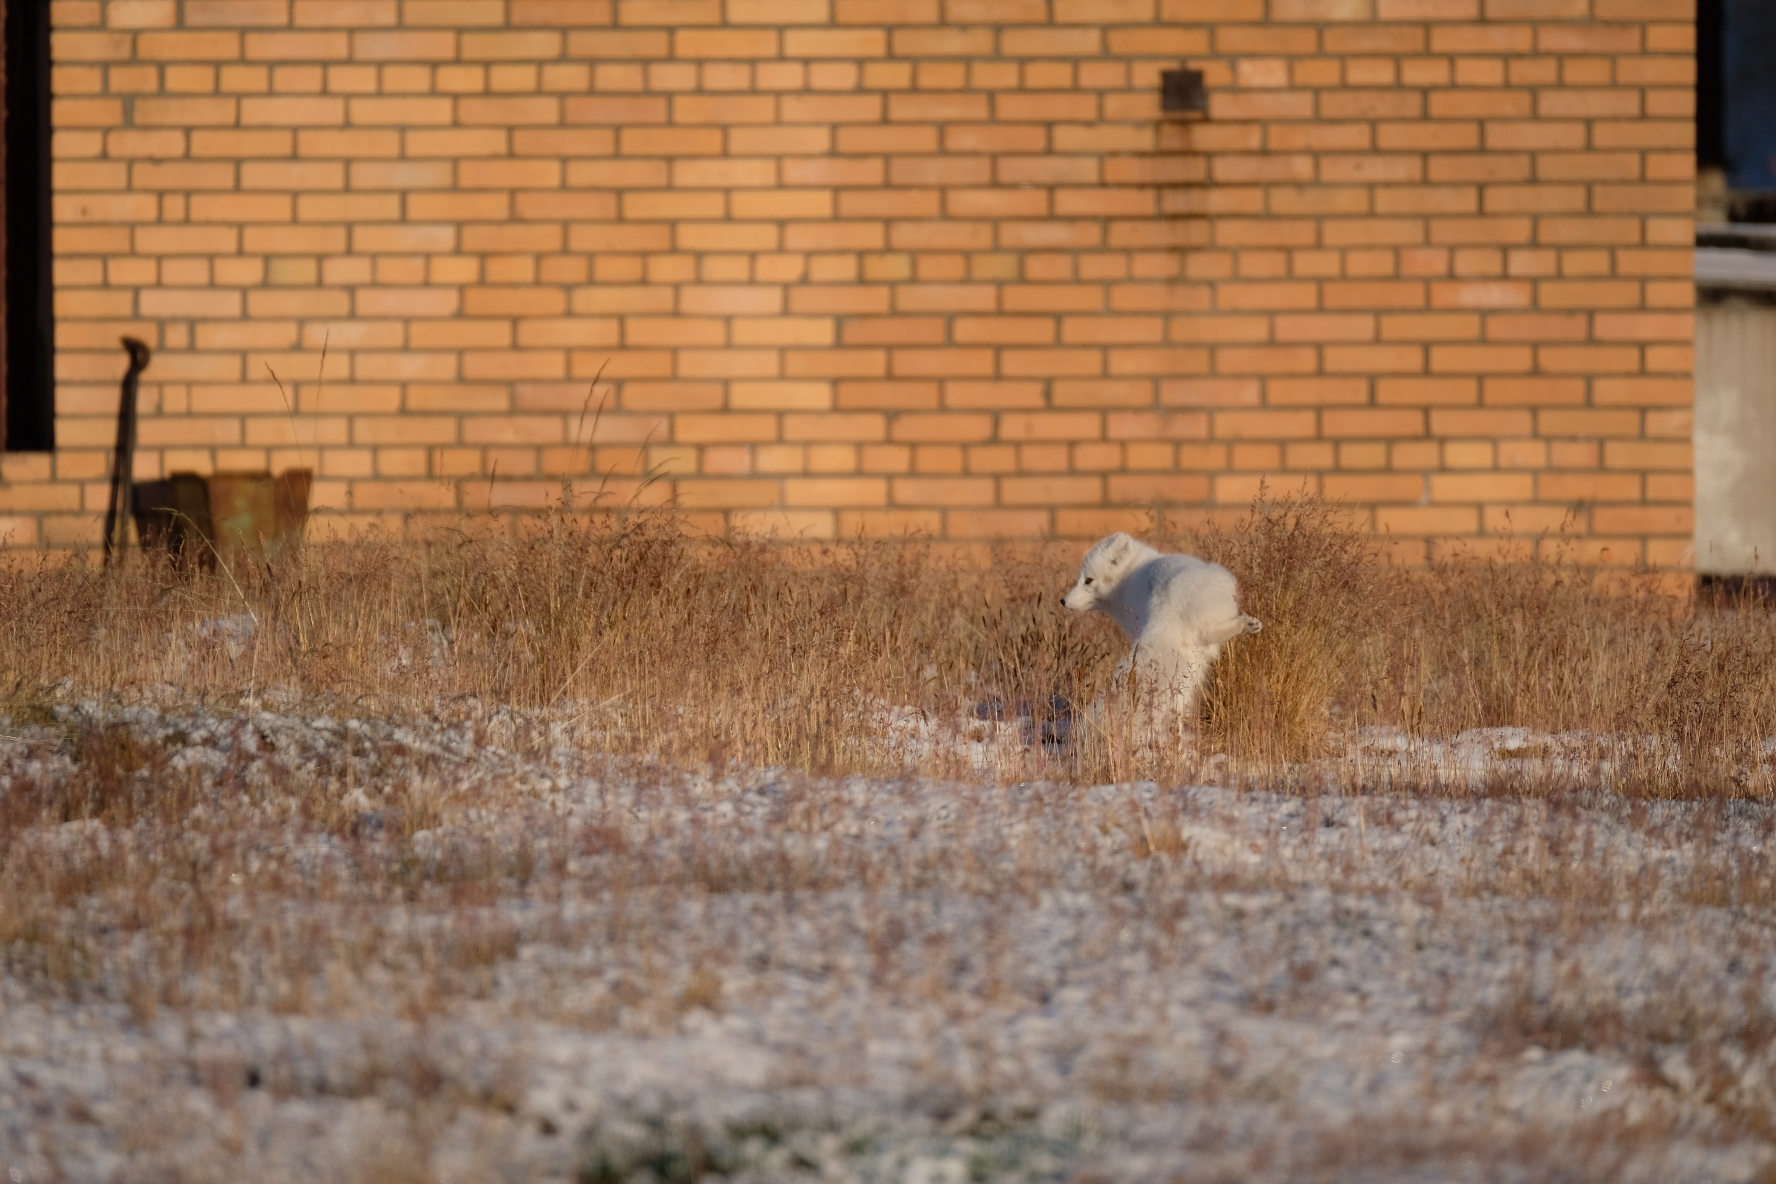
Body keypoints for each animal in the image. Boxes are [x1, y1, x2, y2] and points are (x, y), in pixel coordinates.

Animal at [1058, 536, 1257, 741]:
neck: (1127, 582)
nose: (1063, 601)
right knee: (1209, 633)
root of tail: (1166, 610)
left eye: (1088, 580)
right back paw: (1247, 623)